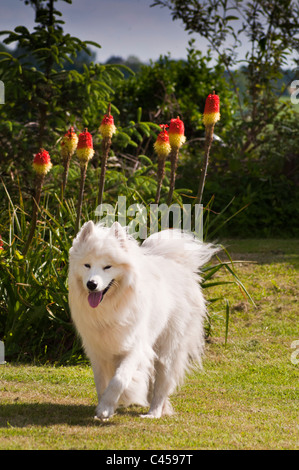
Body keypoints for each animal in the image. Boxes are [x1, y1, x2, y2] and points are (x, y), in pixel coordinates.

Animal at [68, 222, 218, 420]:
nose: (92, 284)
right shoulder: (97, 351)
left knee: (161, 386)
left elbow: (119, 379)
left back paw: (153, 413)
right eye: (87, 265)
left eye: (107, 267)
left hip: (168, 350)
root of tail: (177, 264)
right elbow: (101, 383)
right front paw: (104, 407)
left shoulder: (135, 348)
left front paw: (106, 408)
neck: (112, 306)